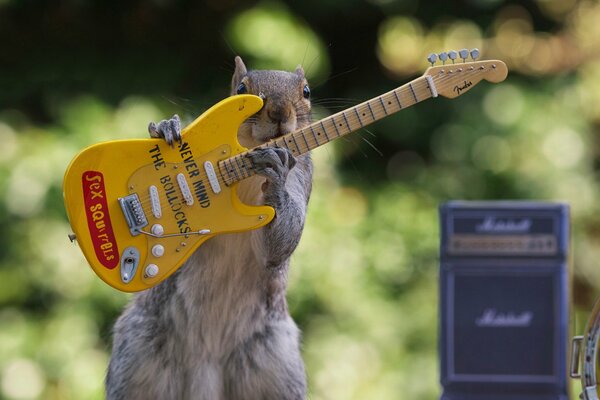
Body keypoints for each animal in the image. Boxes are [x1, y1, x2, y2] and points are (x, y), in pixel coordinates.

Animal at [105, 57, 314, 400]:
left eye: (306, 91)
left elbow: (282, 243)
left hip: (276, 365)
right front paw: (166, 128)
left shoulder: (303, 177)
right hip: (137, 353)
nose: (279, 113)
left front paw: (276, 176)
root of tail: (206, 363)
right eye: (241, 88)